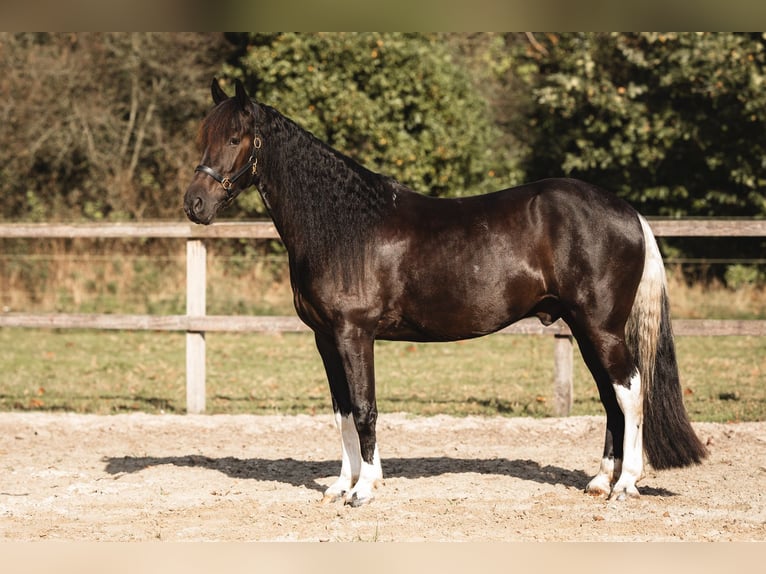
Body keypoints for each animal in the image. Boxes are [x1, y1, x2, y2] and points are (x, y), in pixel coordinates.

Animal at [184, 77, 708, 508]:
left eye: (235, 139)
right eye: (203, 137)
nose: (195, 204)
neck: (342, 225)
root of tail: (629, 213)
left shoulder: (355, 334)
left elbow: (365, 409)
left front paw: (365, 489)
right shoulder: (325, 339)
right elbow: (342, 412)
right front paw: (340, 484)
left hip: (602, 328)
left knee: (630, 392)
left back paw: (626, 484)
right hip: (585, 328)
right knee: (609, 397)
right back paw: (600, 481)